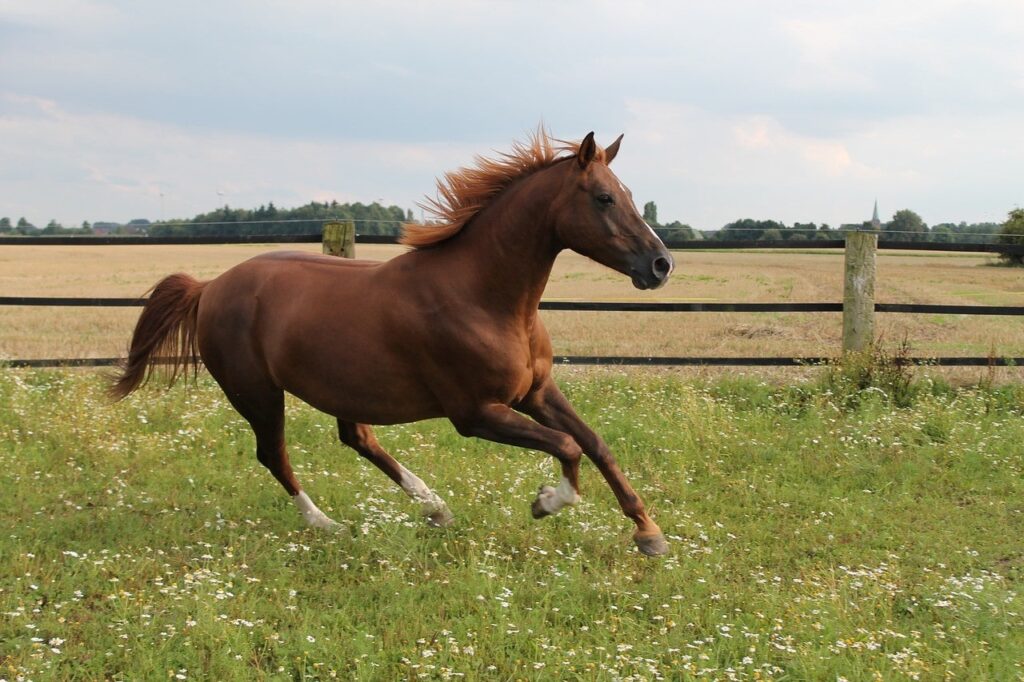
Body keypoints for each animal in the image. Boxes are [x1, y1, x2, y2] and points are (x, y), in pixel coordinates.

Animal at [110, 131, 675, 556]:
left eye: (629, 193)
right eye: (604, 197)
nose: (661, 265)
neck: (484, 297)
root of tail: (209, 287)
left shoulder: (536, 392)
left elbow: (594, 443)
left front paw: (649, 533)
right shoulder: (475, 413)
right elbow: (567, 446)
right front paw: (545, 502)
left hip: (340, 387)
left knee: (357, 439)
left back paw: (435, 507)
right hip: (256, 393)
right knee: (274, 454)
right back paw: (327, 524)